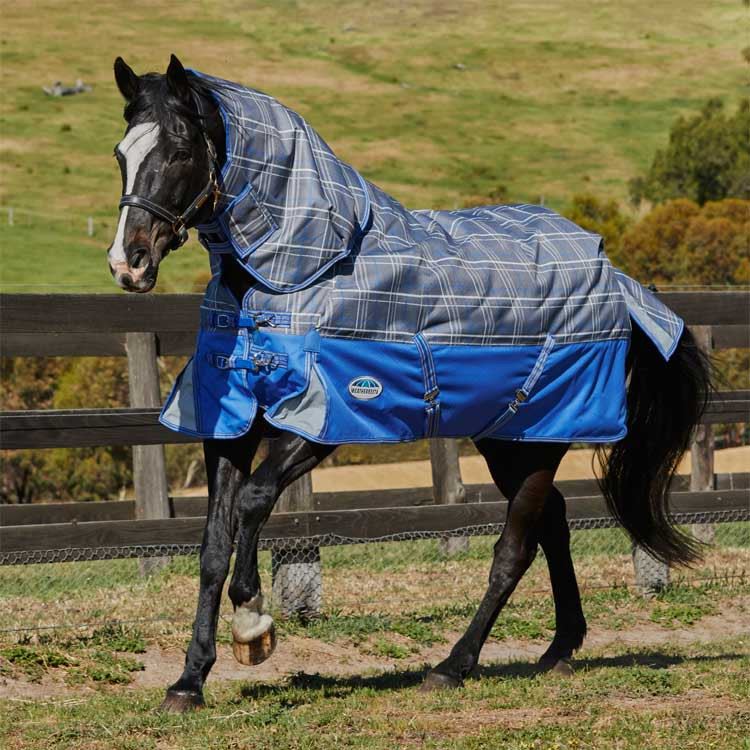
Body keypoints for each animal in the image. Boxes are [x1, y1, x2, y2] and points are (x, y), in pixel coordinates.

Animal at [107, 55, 711, 713]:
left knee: (515, 548)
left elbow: (254, 501)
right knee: (550, 523)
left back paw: (453, 665)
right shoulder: (231, 421)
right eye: (121, 154)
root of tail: (613, 274)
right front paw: (189, 680)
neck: (301, 272)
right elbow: (213, 546)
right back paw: (558, 649)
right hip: (510, 440)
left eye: (181, 151)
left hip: (543, 432)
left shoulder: (324, 417)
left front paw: (253, 623)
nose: (128, 263)